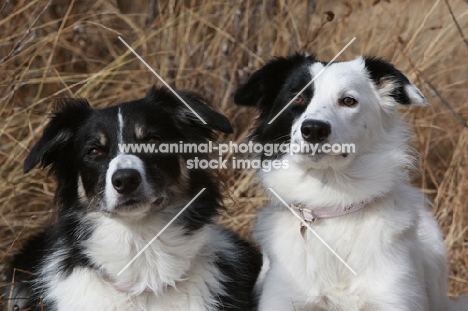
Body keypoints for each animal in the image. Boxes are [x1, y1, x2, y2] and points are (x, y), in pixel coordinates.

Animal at [234, 54, 468, 310]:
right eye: (297, 97)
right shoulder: (283, 298)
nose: (314, 129)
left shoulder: (395, 297)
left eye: (348, 101)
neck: (332, 203)